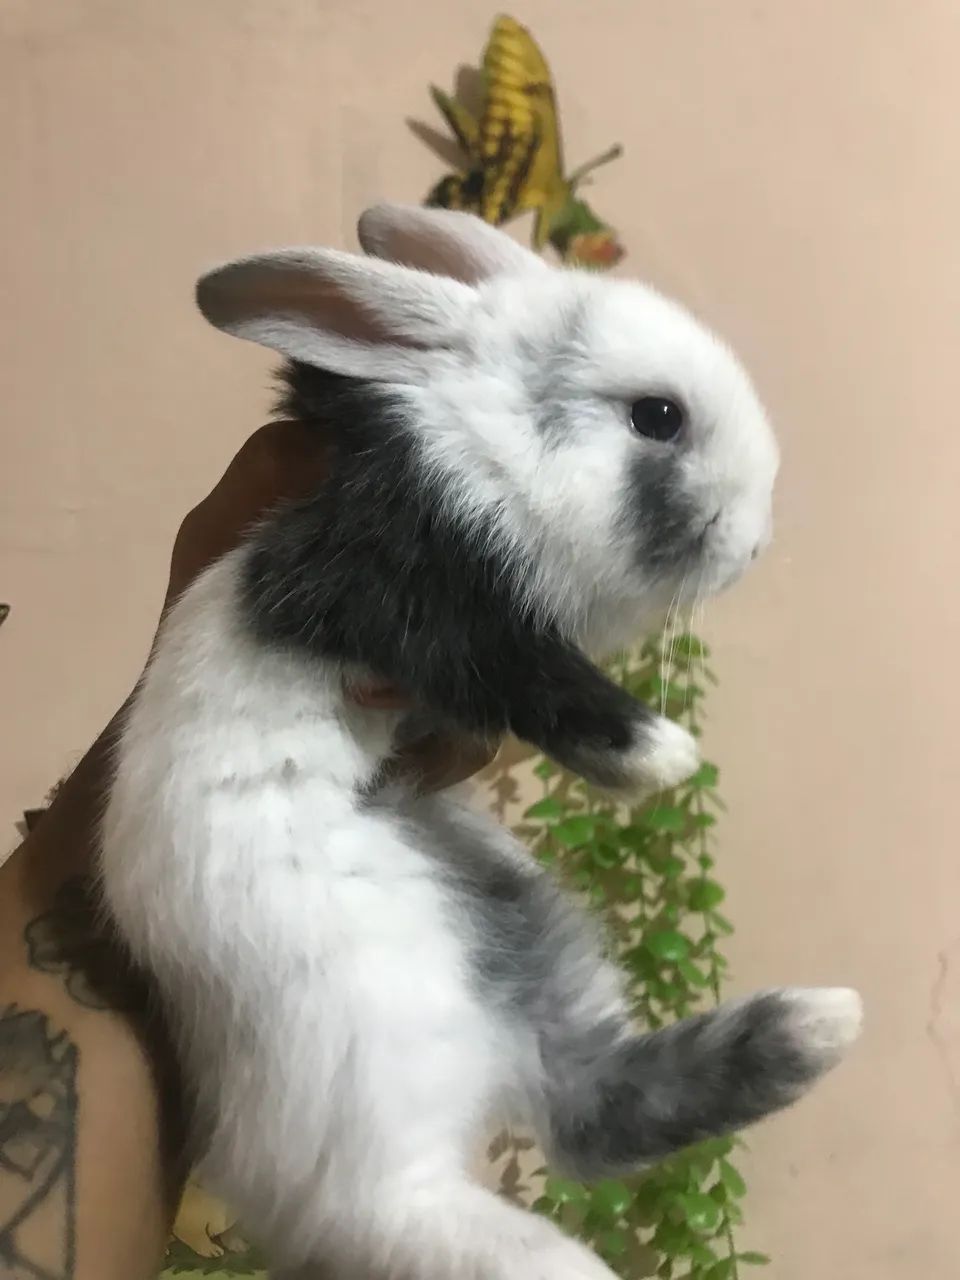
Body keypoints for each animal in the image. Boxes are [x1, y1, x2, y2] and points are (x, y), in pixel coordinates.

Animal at [99, 203, 861, 1280]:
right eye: (657, 417)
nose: (750, 544)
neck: (487, 452)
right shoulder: (399, 592)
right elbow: (514, 666)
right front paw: (659, 753)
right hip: (369, 1070)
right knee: (408, 1209)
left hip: (532, 927)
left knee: (588, 1109)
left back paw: (814, 1025)